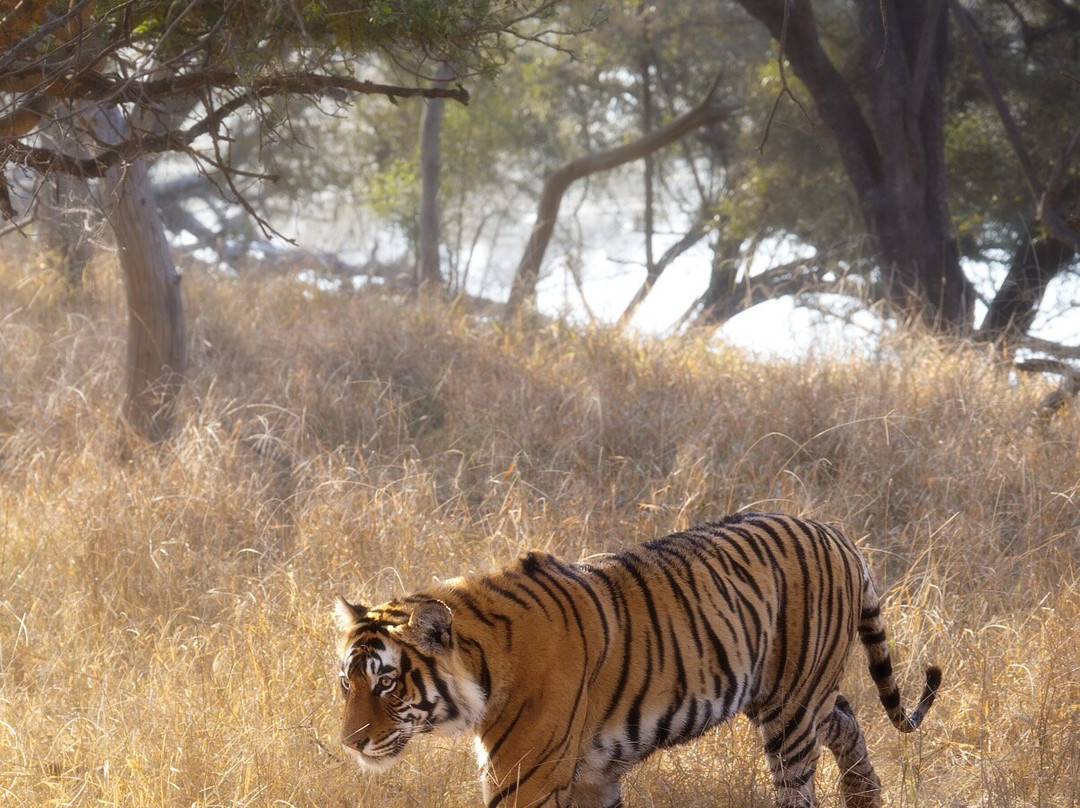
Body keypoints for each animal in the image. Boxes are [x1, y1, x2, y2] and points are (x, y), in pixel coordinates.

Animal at [333, 511, 941, 808]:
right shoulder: (591, 778)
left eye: (387, 684)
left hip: (790, 709)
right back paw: (865, 796)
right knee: (844, 718)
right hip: (787, 691)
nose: (351, 744)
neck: (485, 666)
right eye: (346, 684)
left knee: (801, 781)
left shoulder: (526, 779)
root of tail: (836, 533)